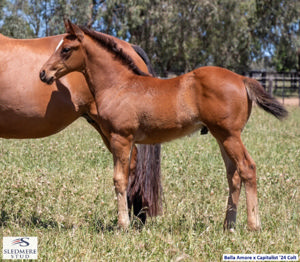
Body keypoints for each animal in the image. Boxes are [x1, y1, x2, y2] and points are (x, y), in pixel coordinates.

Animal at [40, 22, 288, 231]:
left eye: (66, 49)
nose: (43, 73)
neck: (119, 85)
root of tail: (242, 79)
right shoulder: (123, 140)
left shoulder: (121, 137)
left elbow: (119, 180)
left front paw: (123, 225)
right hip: (222, 137)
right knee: (233, 175)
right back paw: (229, 225)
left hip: (230, 135)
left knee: (247, 168)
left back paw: (253, 225)